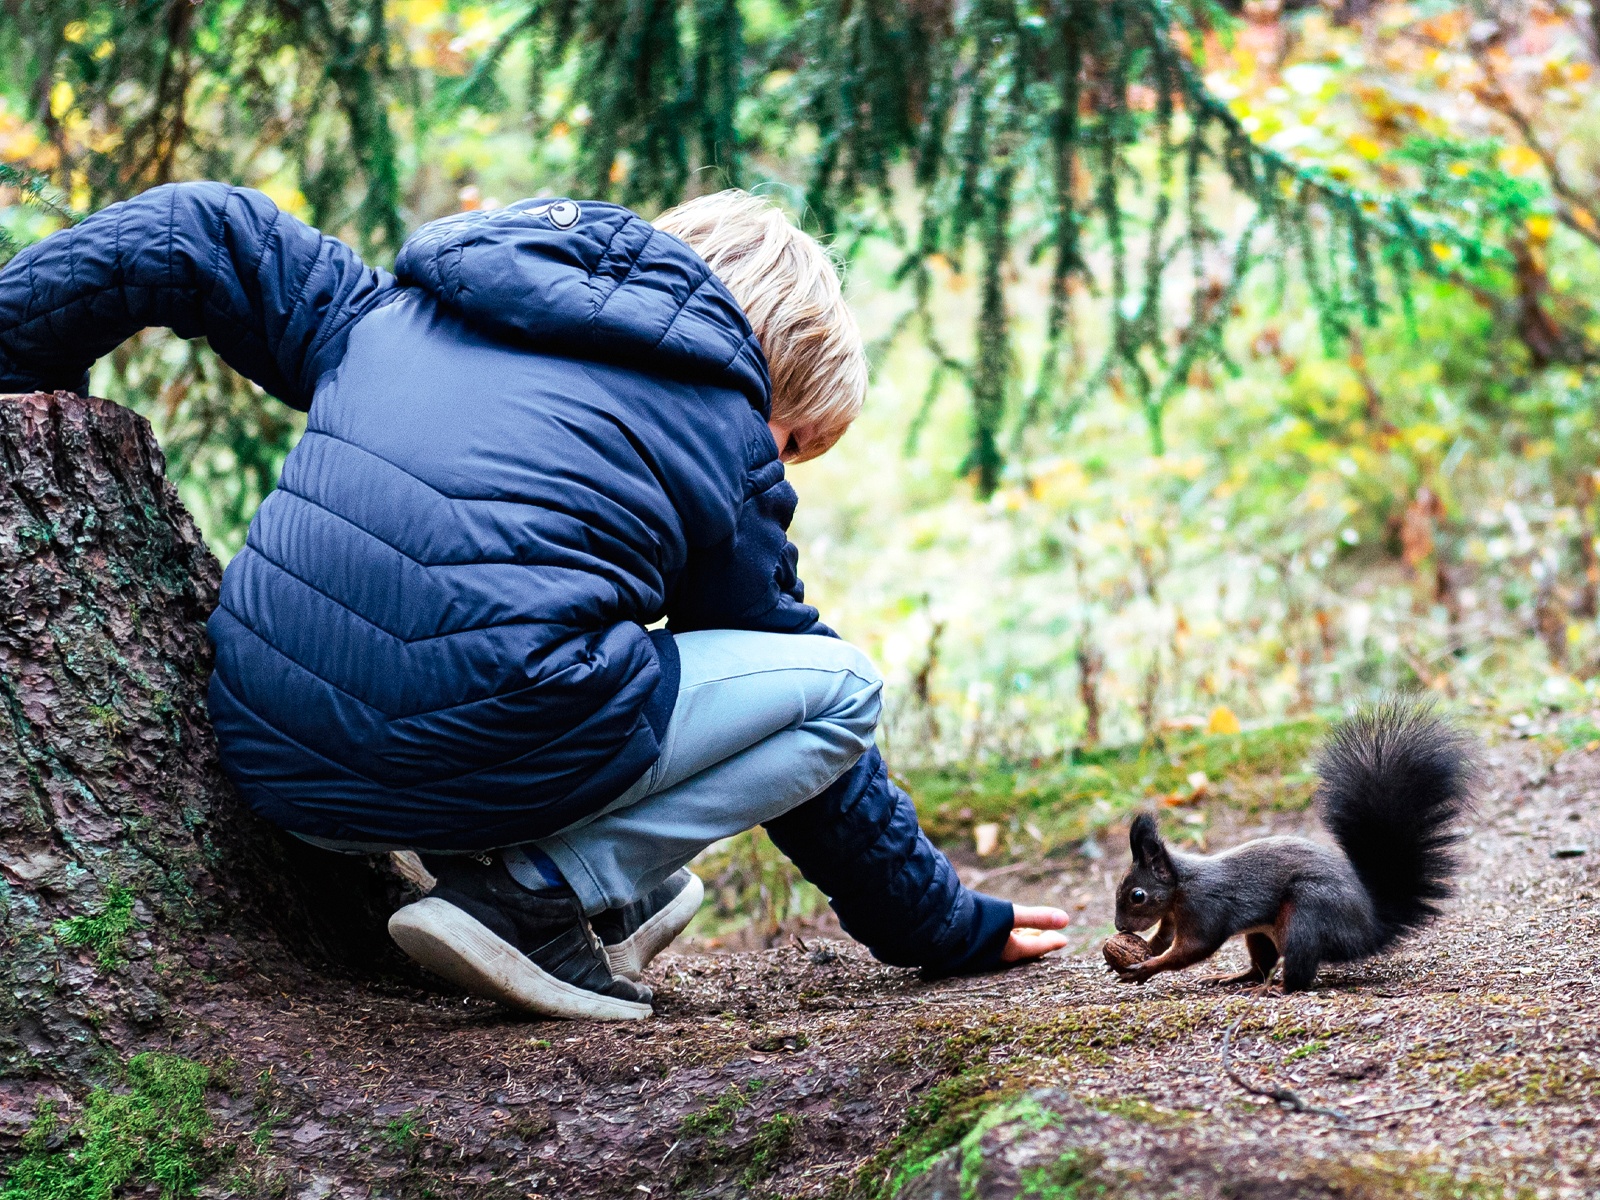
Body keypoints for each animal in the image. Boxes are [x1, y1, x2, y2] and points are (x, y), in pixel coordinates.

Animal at [1113, 704, 1472, 998]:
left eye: (1137, 895)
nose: (1119, 928)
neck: (1181, 887)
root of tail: (1370, 929)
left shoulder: (1204, 907)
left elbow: (1194, 949)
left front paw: (1145, 967)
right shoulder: (1172, 914)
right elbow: (1164, 937)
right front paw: (1144, 949)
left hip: (1306, 914)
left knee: (1299, 973)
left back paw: (1278, 989)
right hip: (1261, 933)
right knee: (1262, 964)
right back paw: (1236, 978)